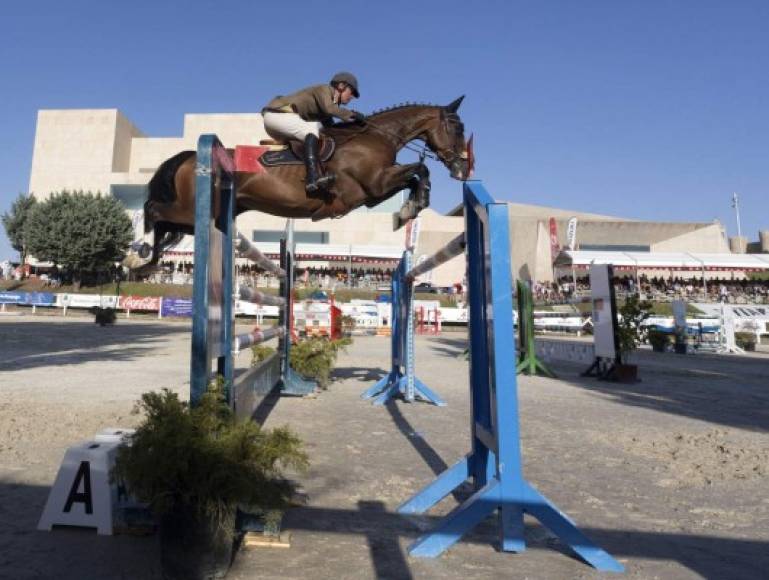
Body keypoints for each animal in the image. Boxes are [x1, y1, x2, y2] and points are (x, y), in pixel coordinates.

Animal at [129, 97, 472, 272]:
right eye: (456, 127)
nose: (461, 168)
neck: (375, 137)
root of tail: (190, 156)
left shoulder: (372, 195)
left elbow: (415, 174)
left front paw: (407, 210)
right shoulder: (375, 185)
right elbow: (419, 169)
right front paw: (412, 206)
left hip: (206, 217)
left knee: (165, 225)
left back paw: (146, 264)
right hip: (191, 211)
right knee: (153, 210)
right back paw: (138, 254)